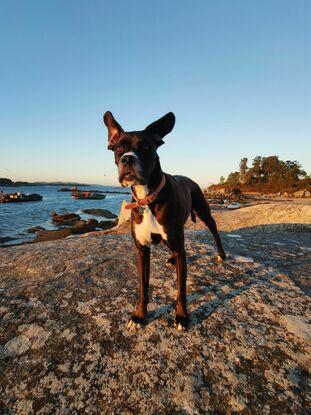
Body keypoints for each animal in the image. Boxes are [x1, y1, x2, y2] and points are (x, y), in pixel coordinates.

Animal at [103, 111, 225, 332]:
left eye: (145, 146)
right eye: (118, 149)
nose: (127, 159)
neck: (147, 198)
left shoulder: (177, 245)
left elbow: (181, 289)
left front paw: (181, 317)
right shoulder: (142, 250)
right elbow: (143, 287)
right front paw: (139, 316)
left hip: (204, 213)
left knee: (215, 233)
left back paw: (221, 254)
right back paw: (172, 259)